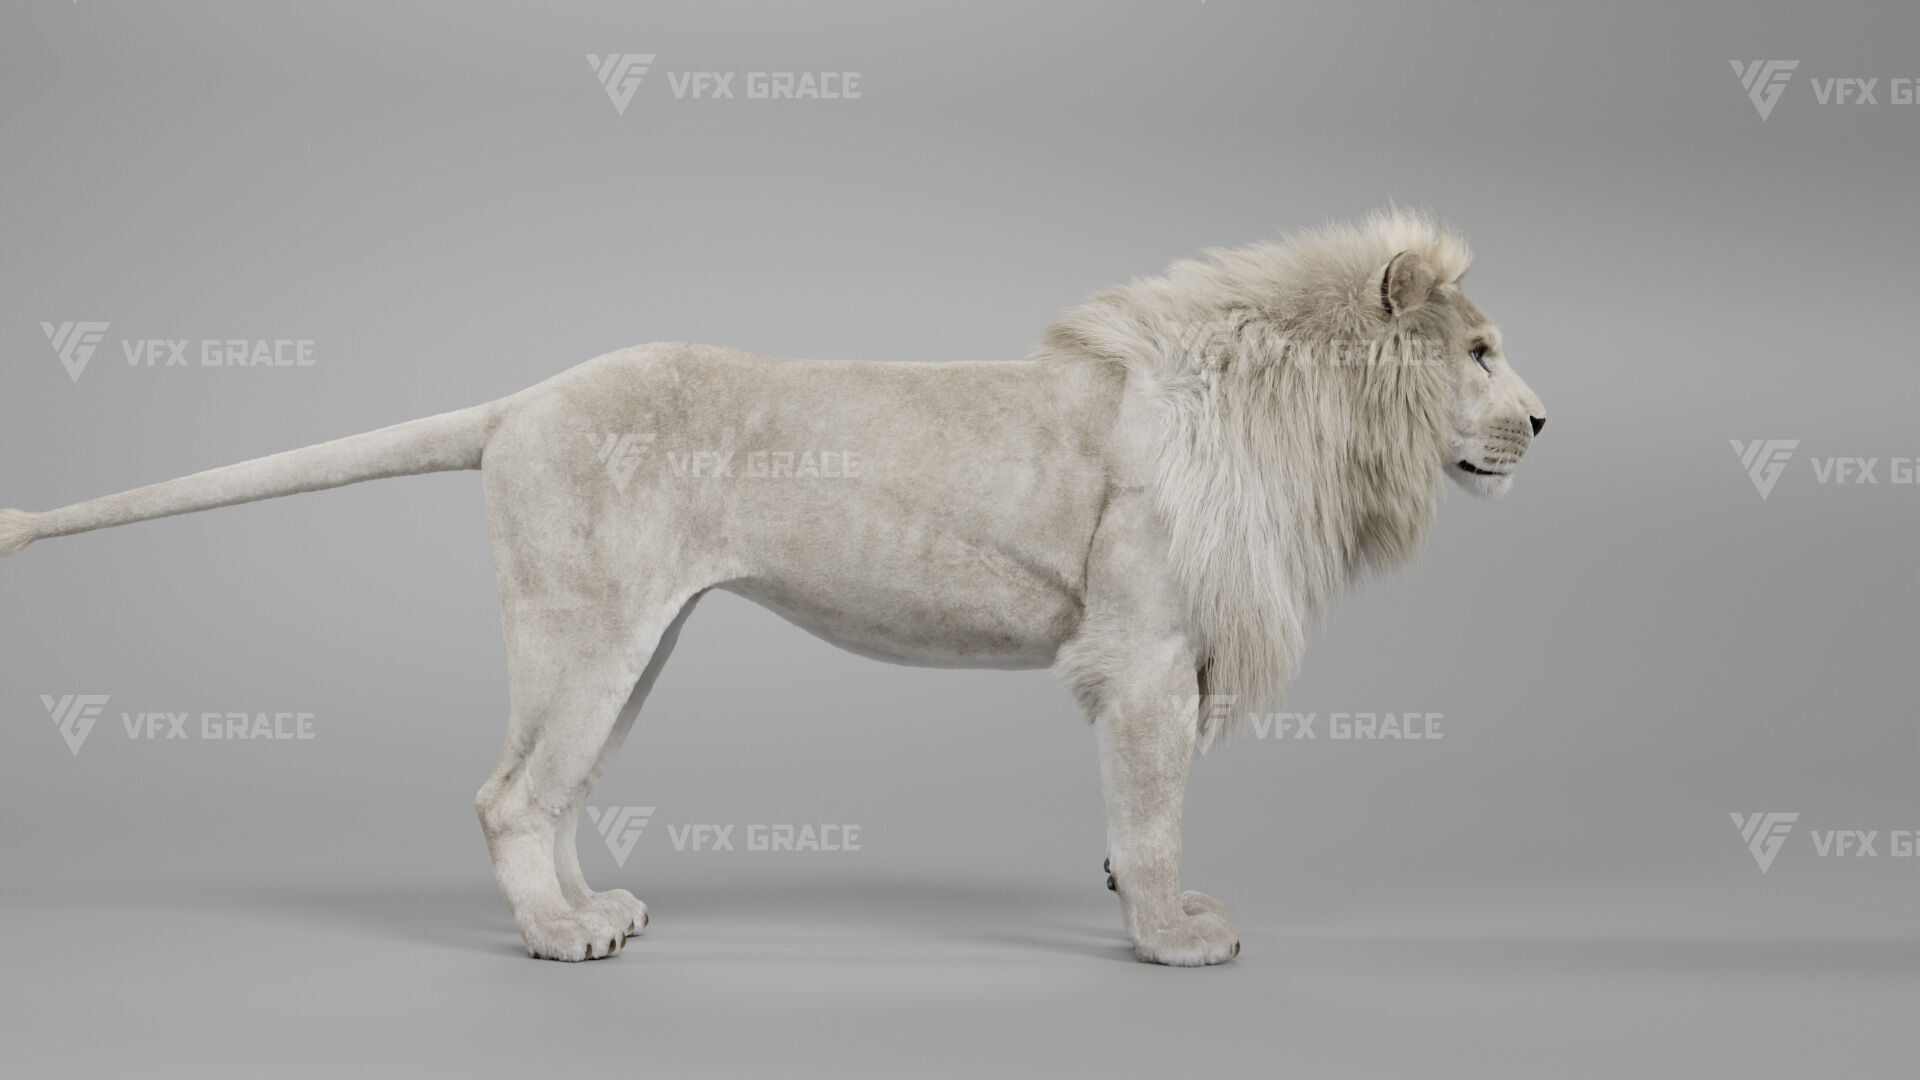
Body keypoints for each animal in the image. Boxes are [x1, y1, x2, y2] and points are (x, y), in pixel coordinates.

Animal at [0, 208, 1544, 965]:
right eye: (1478, 353)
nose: (1542, 422)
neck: (1305, 422)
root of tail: (519, 398)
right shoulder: (1146, 652)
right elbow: (1154, 823)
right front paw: (1171, 941)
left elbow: (1136, 825)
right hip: (586, 626)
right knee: (508, 793)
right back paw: (557, 940)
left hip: (641, 636)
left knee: (557, 790)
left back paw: (598, 913)